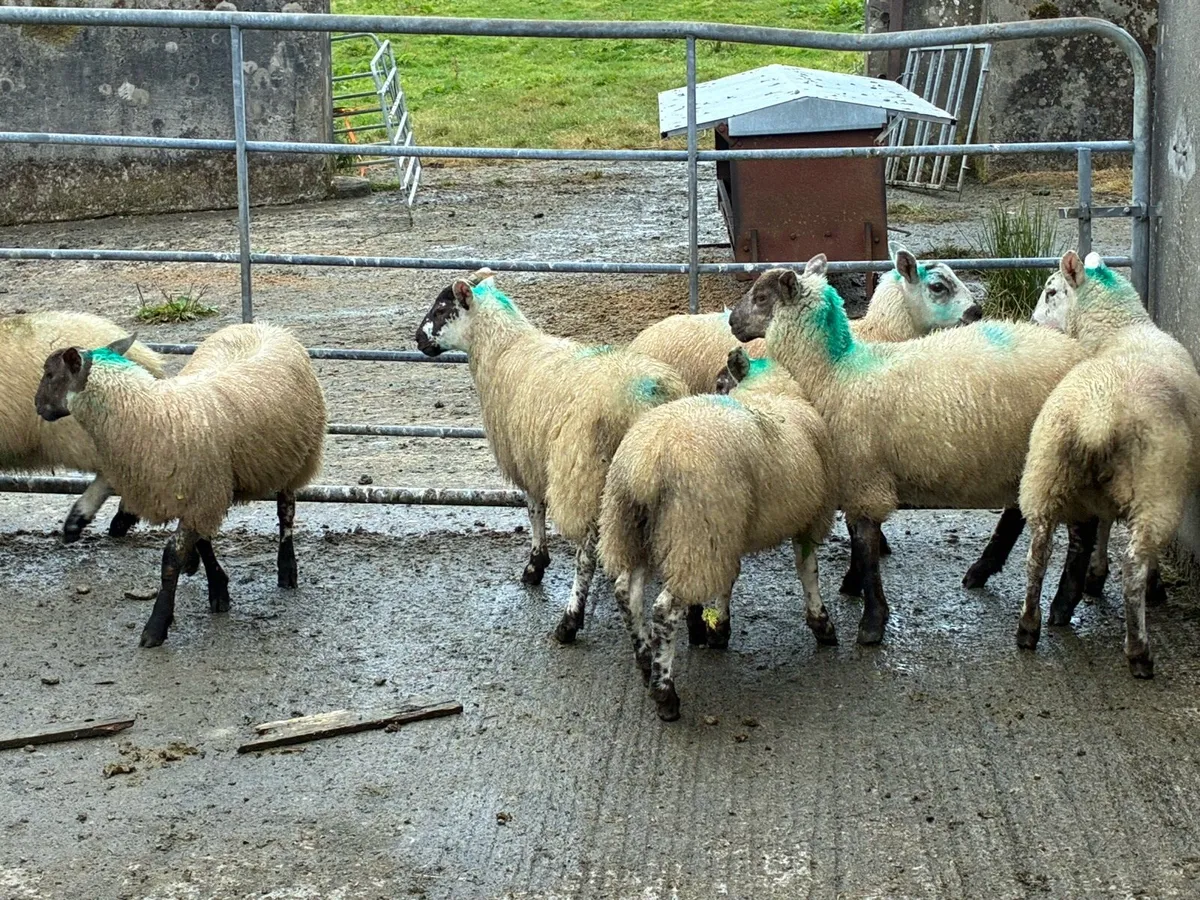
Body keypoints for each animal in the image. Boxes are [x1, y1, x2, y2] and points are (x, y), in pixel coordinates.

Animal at [34, 323, 326, 648]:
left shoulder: (202, 493)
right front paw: (218, 589)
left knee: (286, 511)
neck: (146, 411)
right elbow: (203, 542)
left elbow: (170, 559)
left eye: (49, 373)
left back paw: (287, 569)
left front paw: (157, 625)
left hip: (297, 457)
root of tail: (261, 325)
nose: (37, 406)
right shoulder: (198, 493)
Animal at [415, 271, 688, 645]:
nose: (417, 339)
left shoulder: (525, 457)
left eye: (441, 309)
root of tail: (646, 399)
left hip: (586, 476)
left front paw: (535, 565)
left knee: (585, 556)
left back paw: (569, 621)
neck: (503, 349)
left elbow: (534, 509)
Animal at [597, 347, 838, 720]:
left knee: (626, 591)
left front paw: (719, 629)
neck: (772, 393)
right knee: (664, 610)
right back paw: (665, 694)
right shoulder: (810, 517)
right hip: (693, 531)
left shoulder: (729, 530)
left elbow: (728, 580)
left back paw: (644, 658)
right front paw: (821, 624)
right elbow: (807, 571)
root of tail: (646, 463)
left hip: (638, 530)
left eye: (721, 381)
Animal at [729, 255, 1088, 645]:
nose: (732, 321)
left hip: (1059, 456)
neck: (832, 374)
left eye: (762, 298)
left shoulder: (863, 474)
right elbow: (858, 537)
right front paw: (853, 586)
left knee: (1079, 531)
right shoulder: (854, 476)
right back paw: (985, 571)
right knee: (1020, 515)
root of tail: (1082, 353)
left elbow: (866, 543)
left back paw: (1060, 606)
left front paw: (871, 621)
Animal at [1016, 251, 1200, 678]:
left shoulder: (1097, 494)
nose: (1033, 323)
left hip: (1045, 472)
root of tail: (1098, 416)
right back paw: (1139, 650)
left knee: (1037, 554)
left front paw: (1093, 574)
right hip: (1156, 485)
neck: (1122, 331)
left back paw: (1028, 627)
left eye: (1051, 291)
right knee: (1133, 565)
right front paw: (1140, 583)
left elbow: (1100, 528)